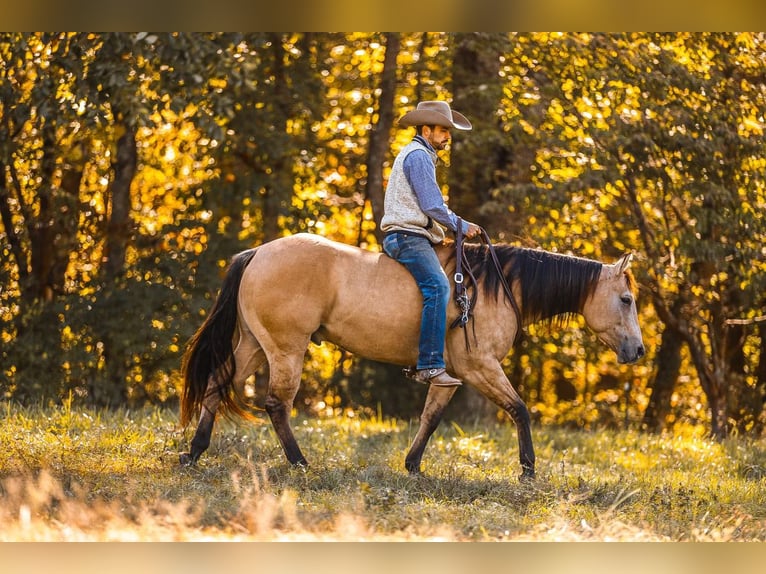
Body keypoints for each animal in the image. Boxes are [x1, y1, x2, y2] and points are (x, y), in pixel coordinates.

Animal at [182, 234, 648, 482]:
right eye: (626, 299)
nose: (639, 350)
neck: (494, 287)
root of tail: (259, 253)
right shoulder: (482, 368)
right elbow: (520, 409)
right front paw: (528, 470)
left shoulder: (450, 375)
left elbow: (432, 417)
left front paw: (413, 465)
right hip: (285, 349)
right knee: (277, 404)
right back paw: (299, 463)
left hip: (253, 345)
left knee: (217, 384)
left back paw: (194, 452)